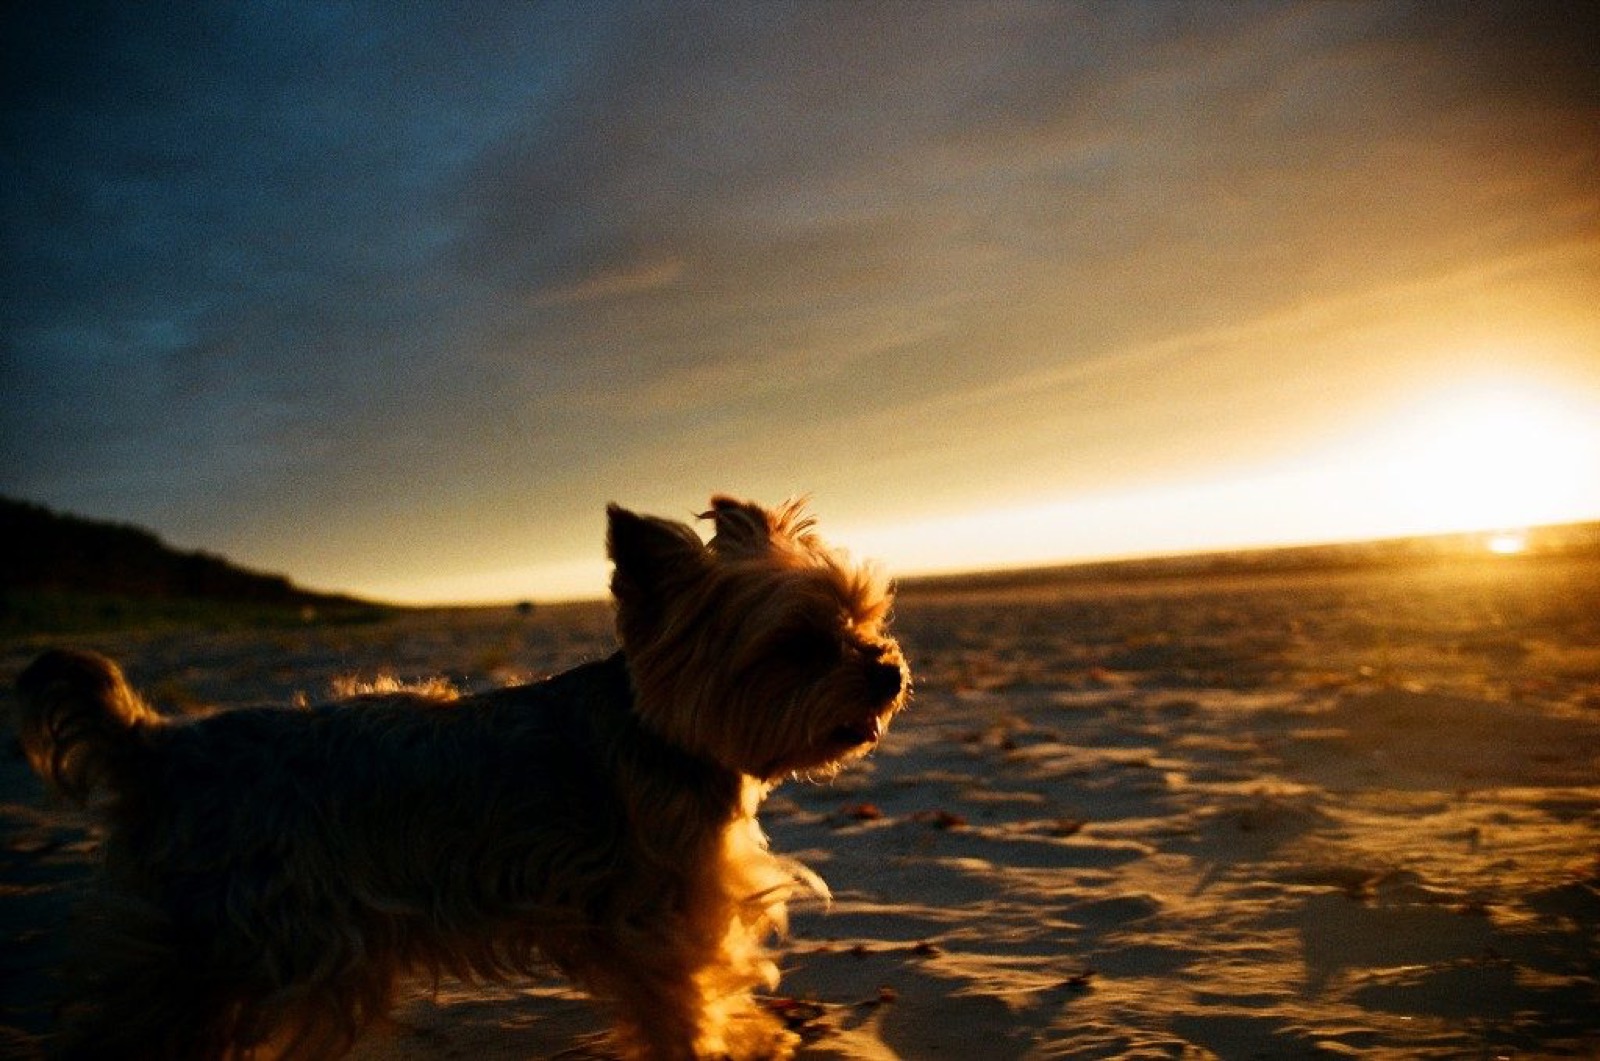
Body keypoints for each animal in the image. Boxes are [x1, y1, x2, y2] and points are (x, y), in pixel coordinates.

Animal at [9, 499, 915, 1061]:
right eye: (797, 645)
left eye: (866, 619)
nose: (888, 671)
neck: (667, 734)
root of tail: (156, 743)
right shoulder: (661, 908)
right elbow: (685, 995)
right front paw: (714, 1044)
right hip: (223, 941)